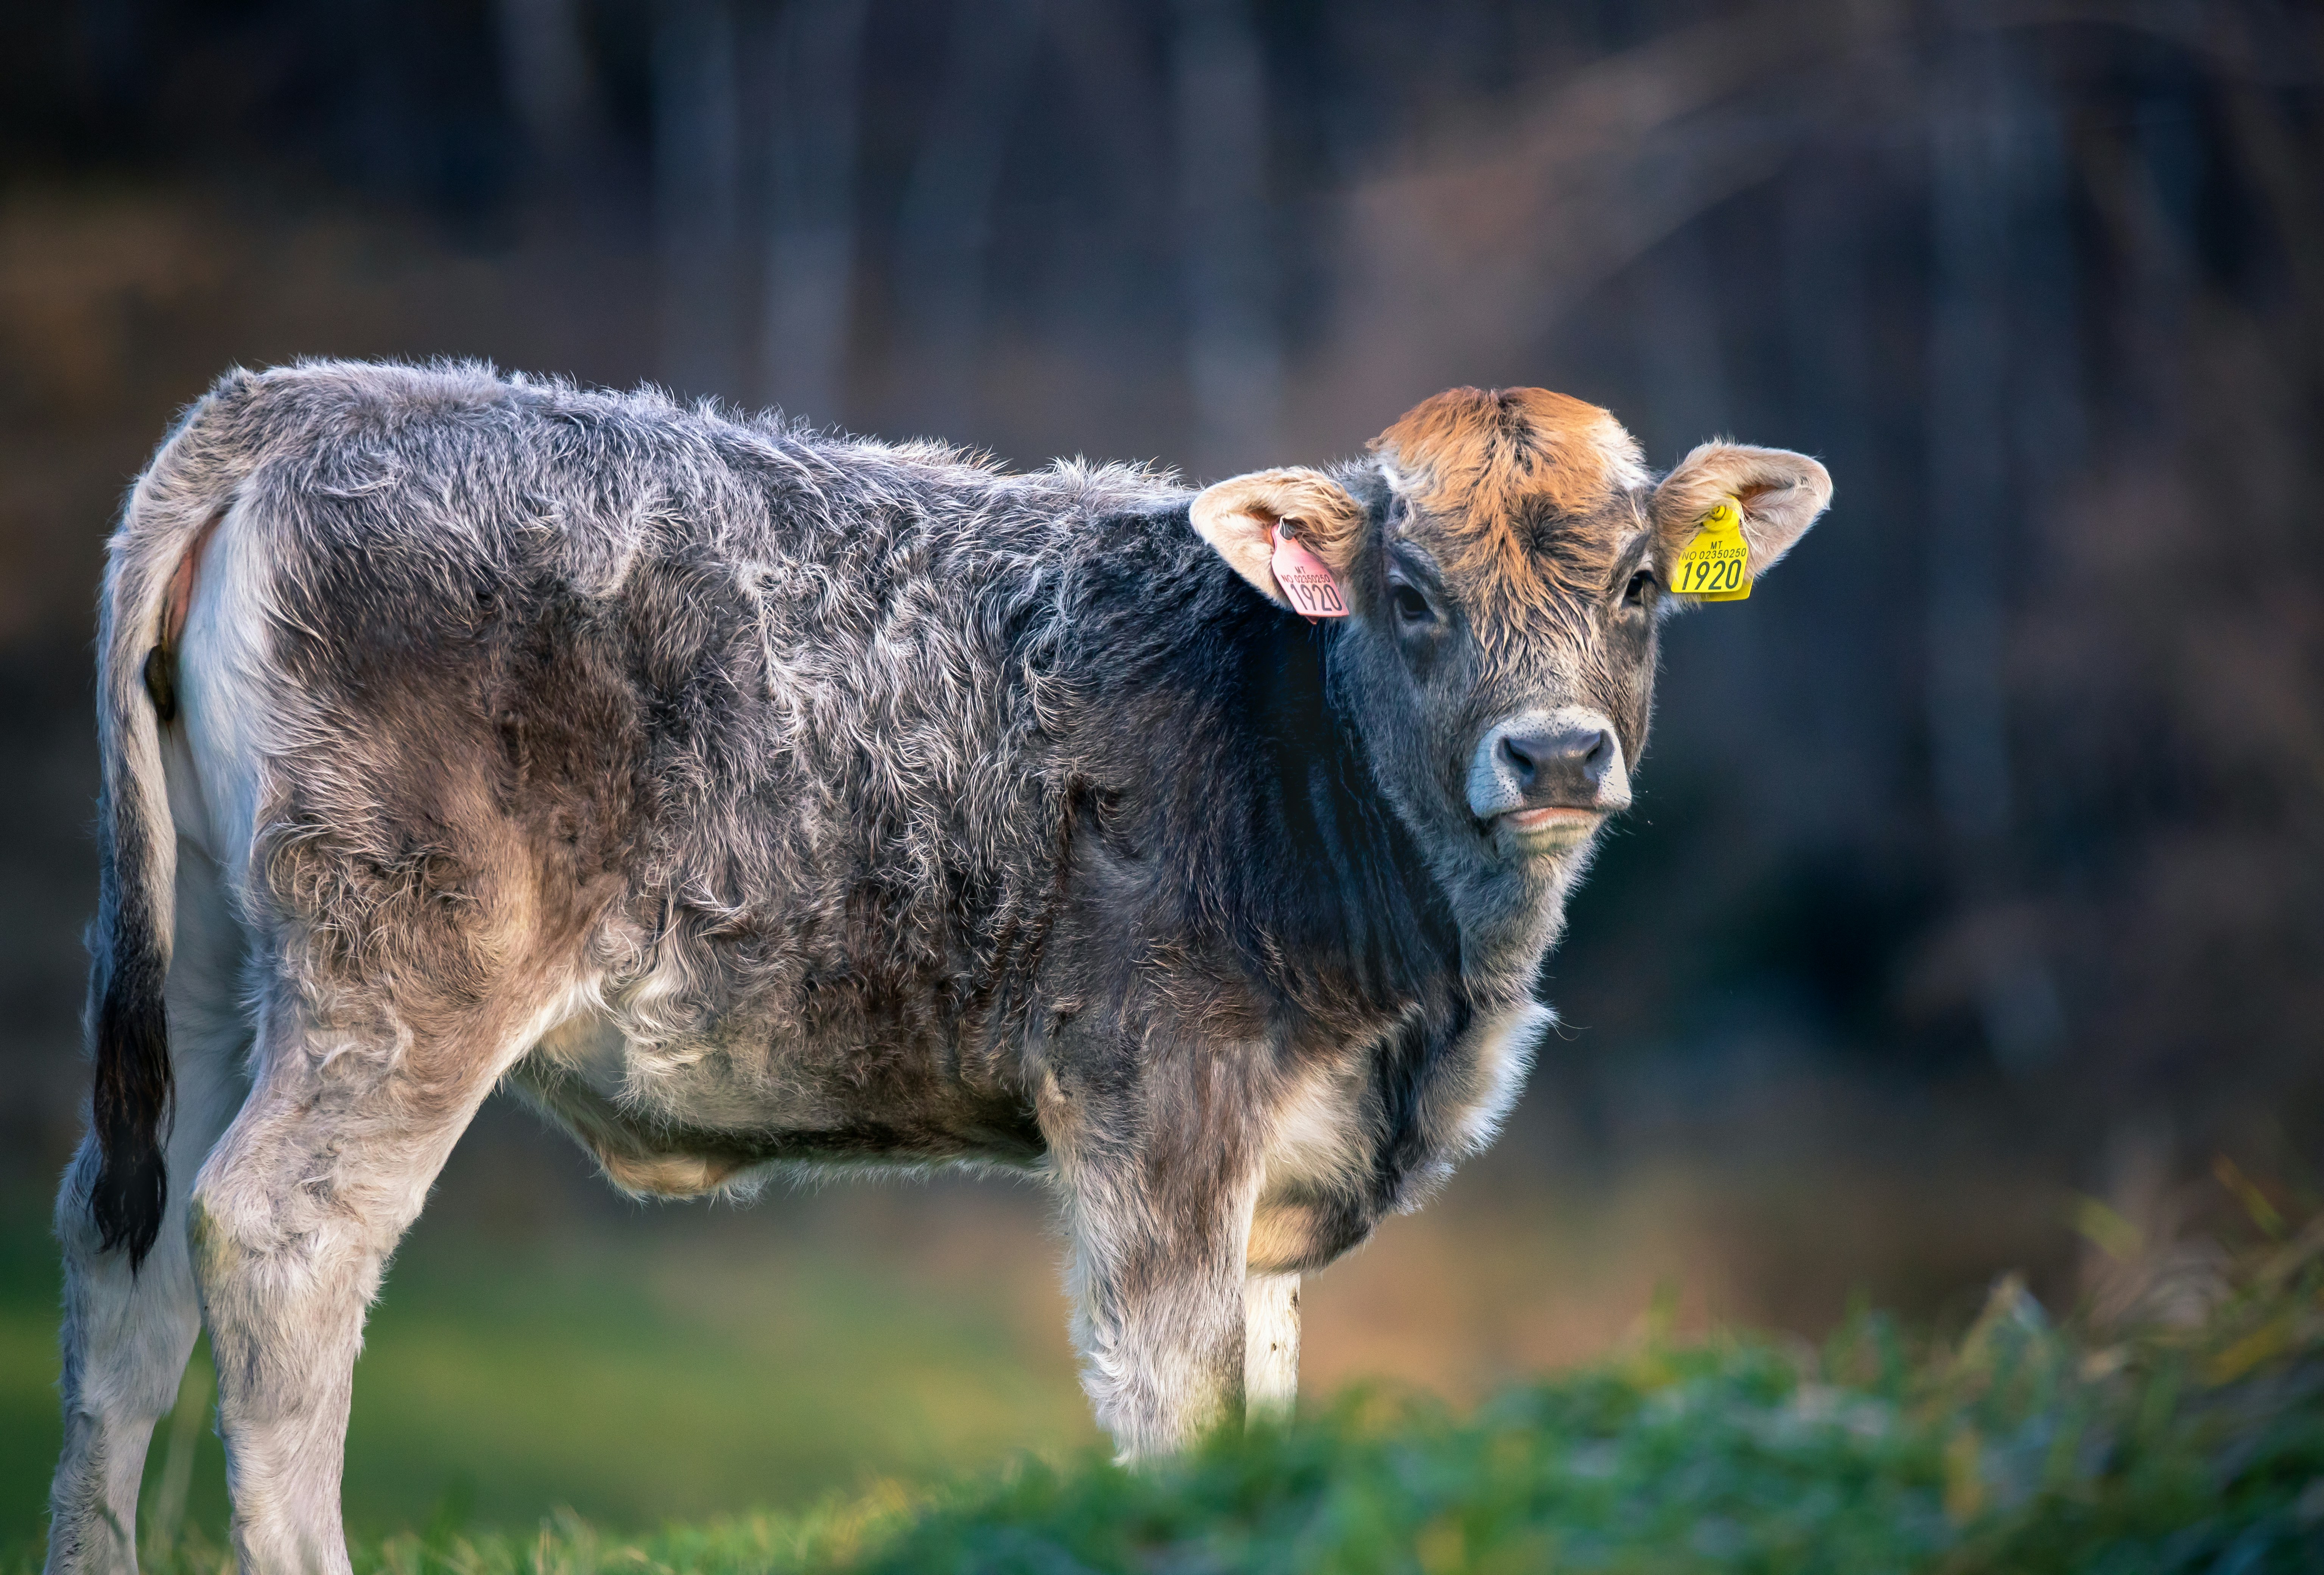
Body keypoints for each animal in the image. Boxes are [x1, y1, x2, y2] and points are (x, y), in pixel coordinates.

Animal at [46, 360, 1829, 1575]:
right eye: (1410, 595)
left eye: (1641, 586)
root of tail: (317, 396)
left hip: (207, 963)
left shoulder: (1269, 1176)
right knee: (276, 1232)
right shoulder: (1157, 1109)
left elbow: (1258, 1415)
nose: (1554, 753)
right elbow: (1173, 1396)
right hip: (404, 964)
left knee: (124, 1247)